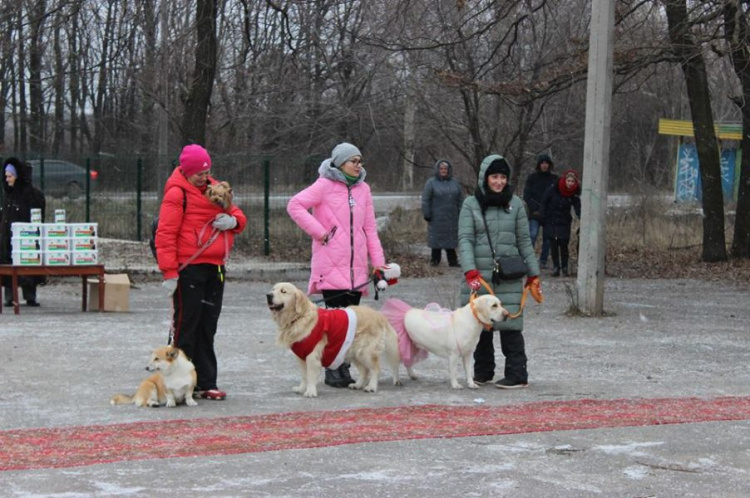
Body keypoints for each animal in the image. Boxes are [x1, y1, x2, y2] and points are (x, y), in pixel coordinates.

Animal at [266, 284, 402, 396]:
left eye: (283, 291)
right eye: (273, 289)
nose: (268, 295)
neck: (299, 317)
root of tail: (379, 315)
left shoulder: (312, 356)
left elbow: (310, 376)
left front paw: (310, 392)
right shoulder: (301, 357)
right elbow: (304, 376)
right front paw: (301, 389)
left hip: (366, 352)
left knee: (375, 369)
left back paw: (372, 387)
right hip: (354, 352)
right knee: (364, 370)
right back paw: (357, 385)